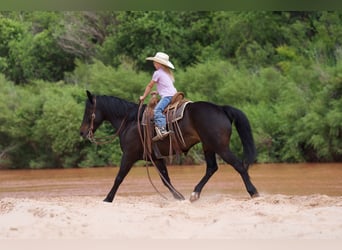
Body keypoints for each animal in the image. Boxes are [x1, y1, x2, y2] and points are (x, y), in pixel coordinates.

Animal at [79, 91, 258, 202]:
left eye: (88, 111)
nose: (82, 132)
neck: (129, 121)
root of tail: (221, 108)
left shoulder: (128, 155)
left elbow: (119, 177)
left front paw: (107, 198)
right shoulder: (157, 158)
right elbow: (166, 180)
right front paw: (179, 197)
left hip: (221, 147)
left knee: (239, 165)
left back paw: (253, 192)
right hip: (208, 146)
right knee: (211, 168)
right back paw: (194, 194)